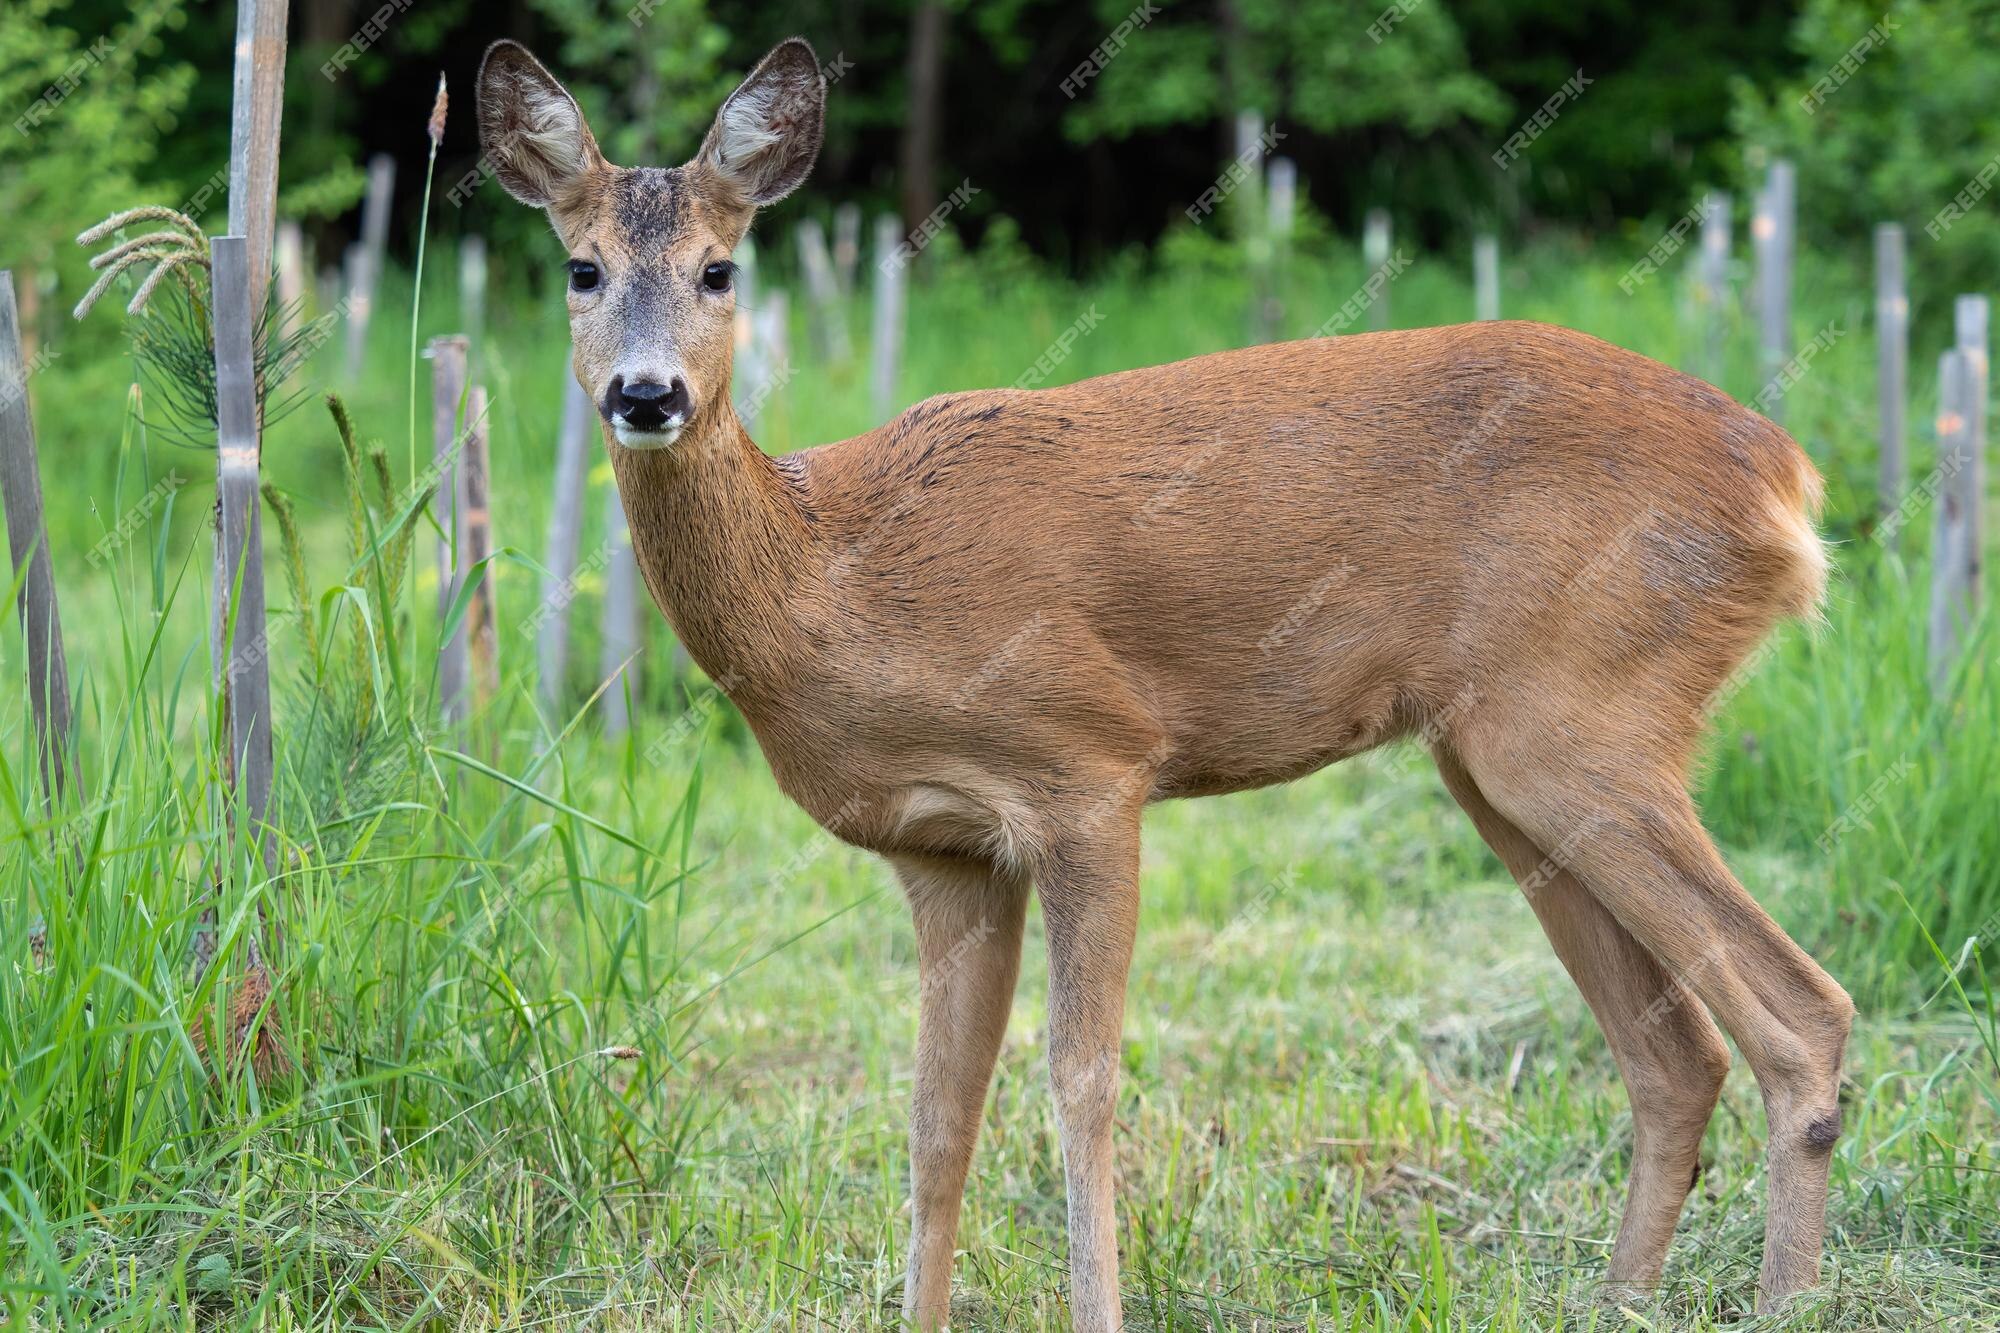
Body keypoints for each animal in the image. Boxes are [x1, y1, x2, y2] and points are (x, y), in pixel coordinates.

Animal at [476, 36, 1848, 1320]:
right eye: (580, 269)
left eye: (721, 270)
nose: (645, 393)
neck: (829, 571)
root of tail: (1786, 479)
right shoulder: (941, 851)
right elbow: (935, 1114)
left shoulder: (1086, 766)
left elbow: (1079, 1081)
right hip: (1498, 760)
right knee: (1675, 1054)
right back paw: (1621, 1302)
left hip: (1583, 717)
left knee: (1800, 1018)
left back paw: (1779, 1302)